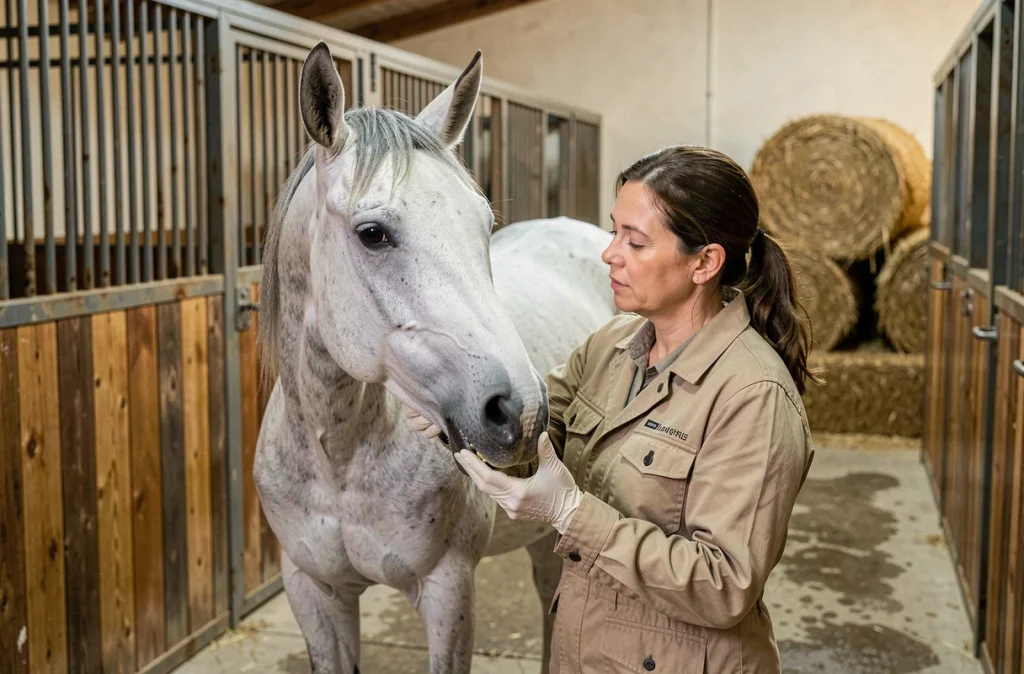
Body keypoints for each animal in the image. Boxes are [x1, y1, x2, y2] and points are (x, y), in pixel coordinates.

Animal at [254, 41, 617, 673]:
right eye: (372, 233)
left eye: (484, 224)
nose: (520, 411)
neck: (338, 457)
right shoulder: (312, 590)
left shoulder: (448, 588)